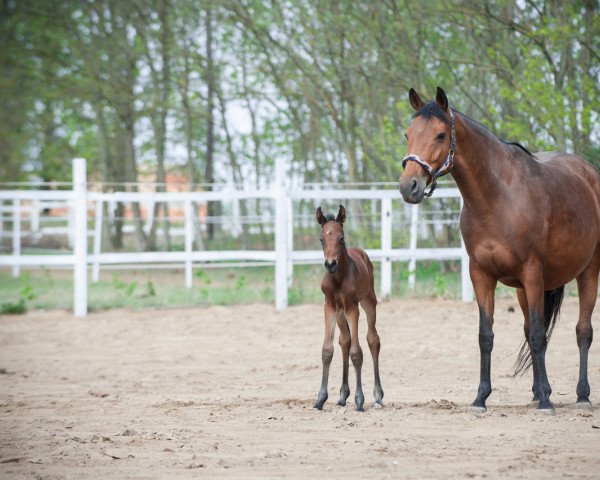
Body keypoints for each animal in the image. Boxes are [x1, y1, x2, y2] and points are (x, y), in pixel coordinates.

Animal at [312, 204, 382, 410]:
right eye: (321, 239)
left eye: (341, 238)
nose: (330, 264)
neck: (338, 278)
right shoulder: (329, 306)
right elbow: (327, 350)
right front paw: (320, 399)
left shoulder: (353, 307)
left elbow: (357, 352)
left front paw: (360, 400)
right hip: (341, 313)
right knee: (345, 340)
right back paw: (343, 396)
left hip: (368, 301)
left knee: (373, 340)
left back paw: (377, 397)